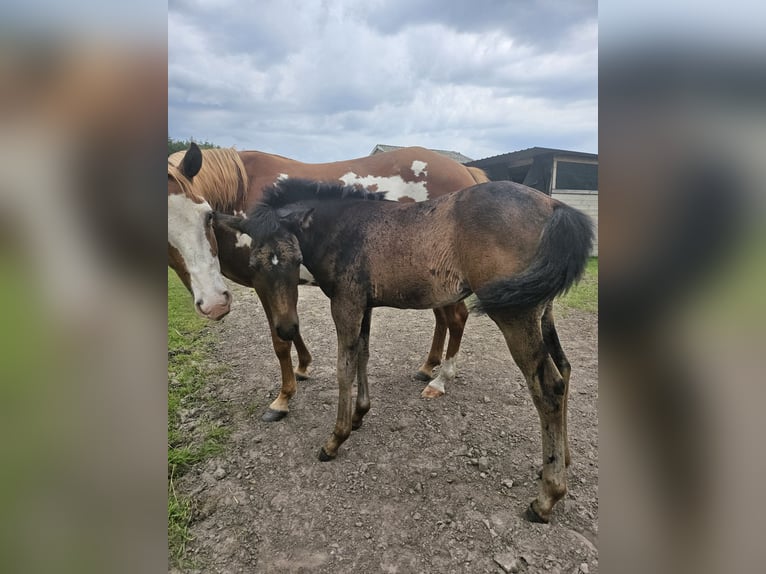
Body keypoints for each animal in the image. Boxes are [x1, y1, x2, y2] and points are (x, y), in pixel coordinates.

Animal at [168, 145, 488, 424]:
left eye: (207, 215)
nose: (214, 304)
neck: (243, 192)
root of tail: (465, 171)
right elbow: (290, 327)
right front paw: (303, 366)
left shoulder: (266, 282)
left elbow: (280, 339)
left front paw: (283, 399)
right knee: (443, 318)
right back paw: (427, 367)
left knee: (456, 318)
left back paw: (440, 379)